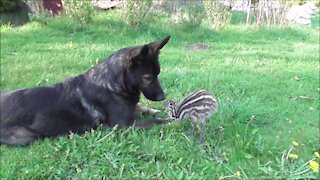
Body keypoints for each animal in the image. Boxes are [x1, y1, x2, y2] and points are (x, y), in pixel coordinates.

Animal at [1, 35, 171, 146]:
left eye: (158, 74)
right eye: (148, 78)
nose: (162, 97)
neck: (112, 82)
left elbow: (141, 107)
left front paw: (153, 110)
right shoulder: (125, 124)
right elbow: (157, 121)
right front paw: (170, 121)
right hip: (25, 136)